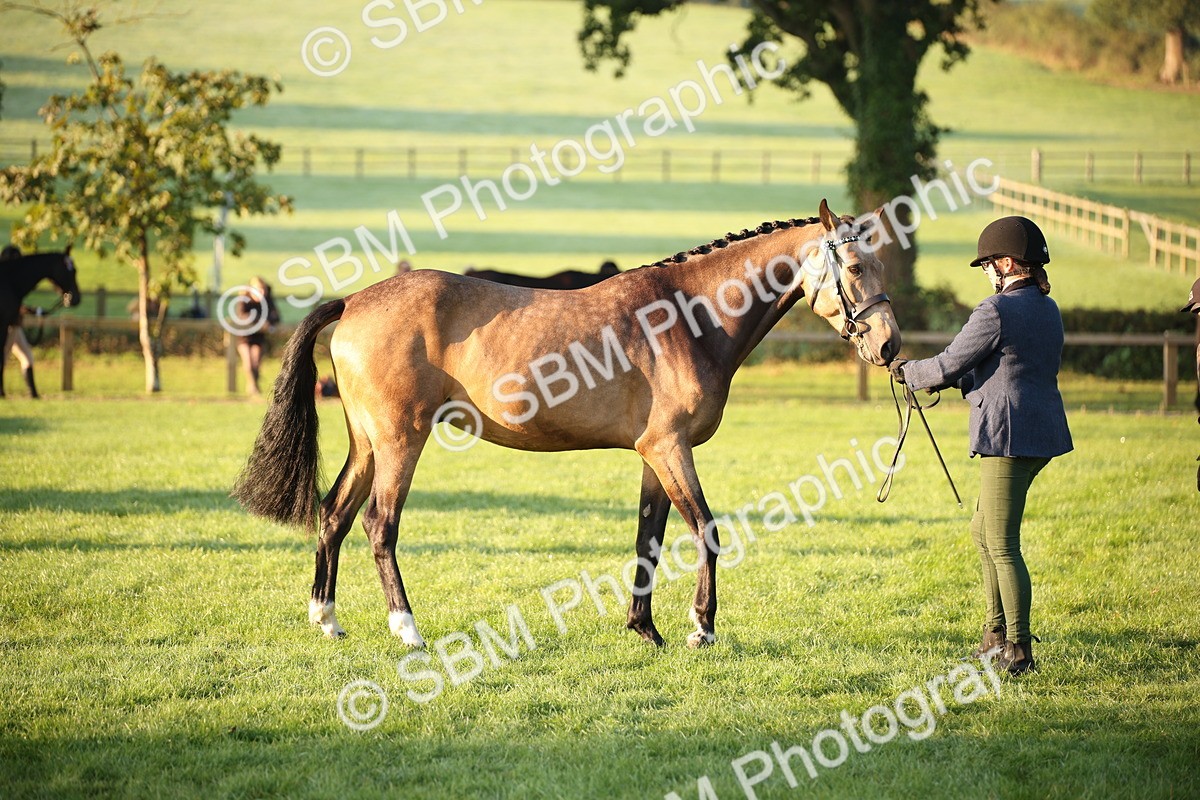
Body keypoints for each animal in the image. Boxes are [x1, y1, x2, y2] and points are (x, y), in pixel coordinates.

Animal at [234, 200, 901, 648]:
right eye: (855, 267)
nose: (890, 345)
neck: (688, 317)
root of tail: (353, 301)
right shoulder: (671, 449)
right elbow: (706, 531)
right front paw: (701, 629)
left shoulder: (653, 455)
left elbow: (649, 538)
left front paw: (645, 630)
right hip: (401, 441)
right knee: (379, 525)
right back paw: (408, 630)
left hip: (368, 442)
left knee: (334, 514)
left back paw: (327, 620)